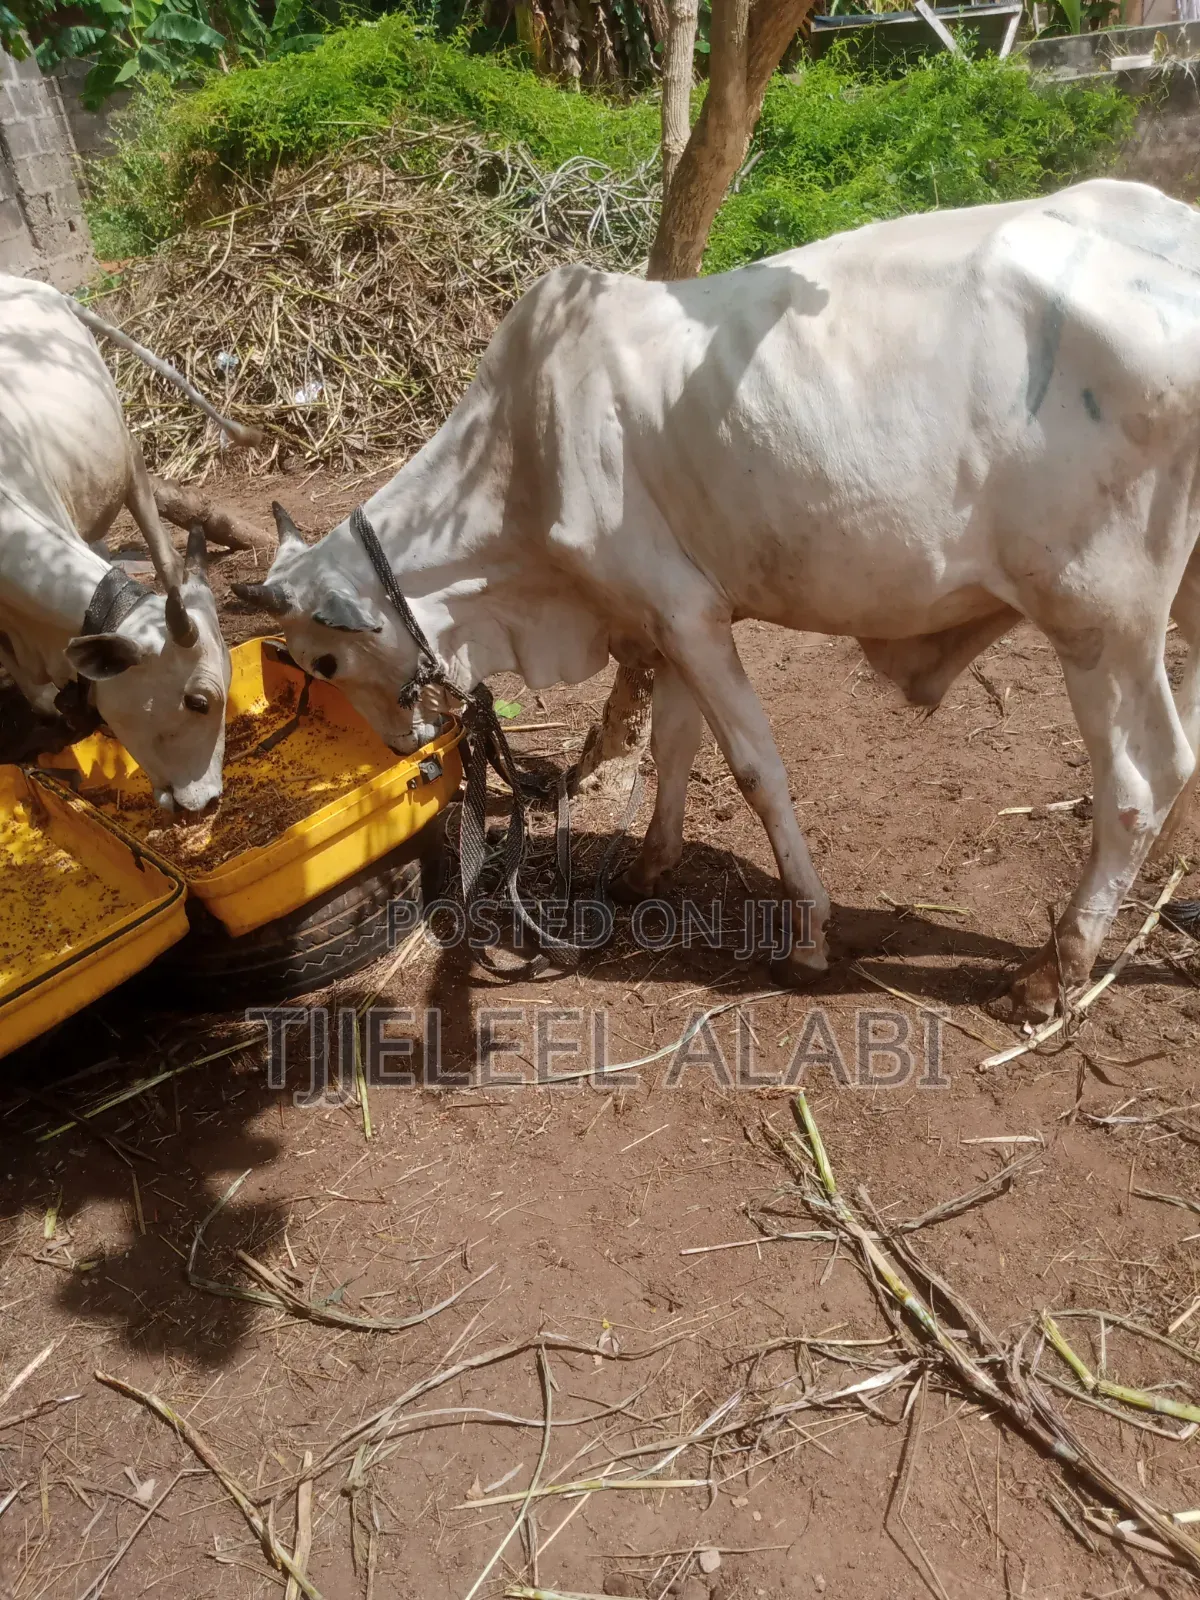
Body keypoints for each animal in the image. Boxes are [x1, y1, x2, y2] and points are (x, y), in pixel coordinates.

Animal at [234, 178, 1200, 1022]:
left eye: (325, 659)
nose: (406, 743)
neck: (523, 457)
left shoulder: (684, 614)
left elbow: (753, 769)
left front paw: (808, 936)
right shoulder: (667, 621)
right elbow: (673, 744)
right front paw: (645, 869)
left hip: (1097, 613)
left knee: (1144, 777)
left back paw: (1052, 971)